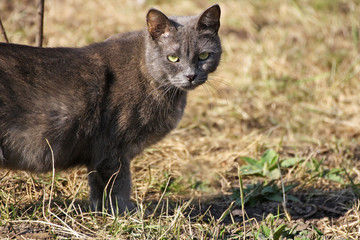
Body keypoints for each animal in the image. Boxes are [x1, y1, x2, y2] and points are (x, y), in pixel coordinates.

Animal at [0, 4, 221, 213]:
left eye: (203, 55)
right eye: (173, 58)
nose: (190, 75)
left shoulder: (100, 156)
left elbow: (98, 187)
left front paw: (102, 212)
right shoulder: (113, 148)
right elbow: (119, 184)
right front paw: (126, 213)